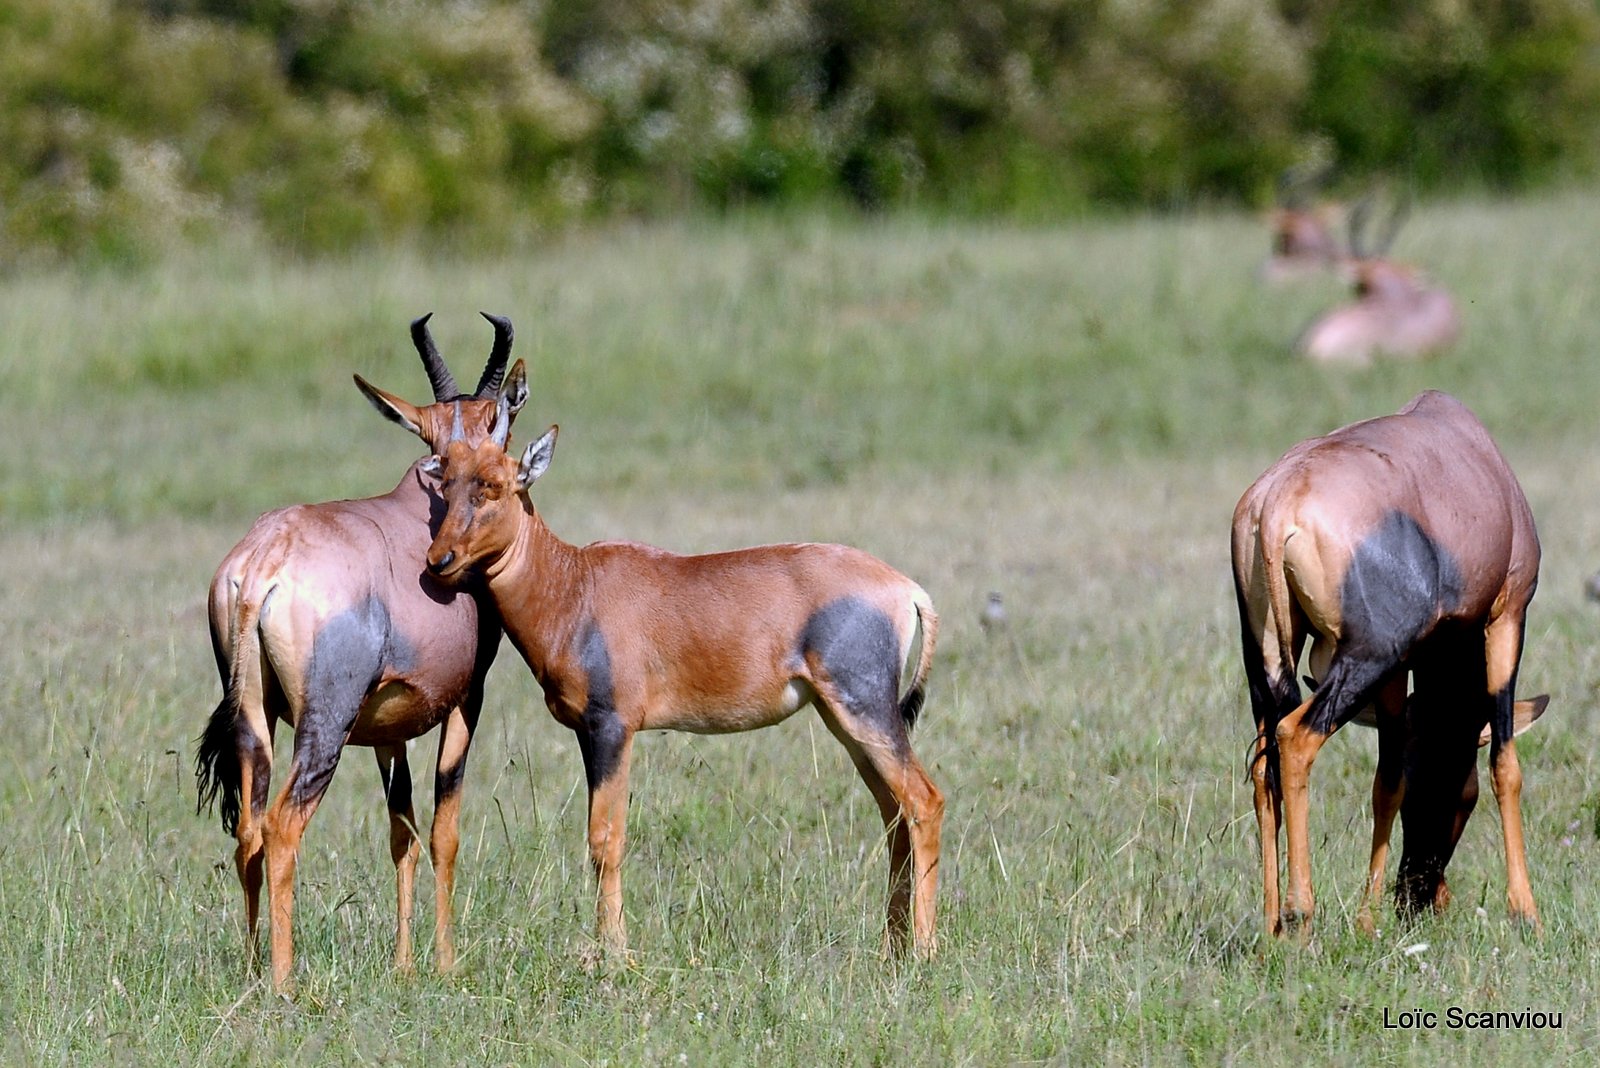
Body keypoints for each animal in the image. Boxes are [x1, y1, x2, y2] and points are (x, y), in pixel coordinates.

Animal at [196, 313, 528, 991]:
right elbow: (443, 829)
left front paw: (403, 966)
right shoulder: (467, 699)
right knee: (282, 828)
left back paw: (252, 968)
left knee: (248, 831)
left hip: (254, 719)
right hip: (325, 723)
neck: (419, 505)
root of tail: (262, 563)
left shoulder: (384, 730)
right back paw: (285, 984)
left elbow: (400, 830)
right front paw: (444, 964)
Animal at [419, 412, 940, 952]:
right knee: (894, 814)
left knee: (924, 803)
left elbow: (605, 837)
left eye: (494, 485)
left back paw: (922, 950)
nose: (438, 560)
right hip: (846, 721)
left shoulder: (612, 728)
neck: (576, 585)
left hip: (866, 709)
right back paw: (892, 947)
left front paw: (614, 954)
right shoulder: (590, 732)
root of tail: (905, 590)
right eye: (447, 482)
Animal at [1228, 390, 1542, 933]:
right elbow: (1506, 764)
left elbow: (1386, 781)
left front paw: (1367, 918)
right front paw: (1526, 912)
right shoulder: (1508, 614)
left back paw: (1271, 927)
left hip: (1266, 657)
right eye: (1465, 795)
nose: (1416, 897)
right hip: (1368, 656)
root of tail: (1275, 505)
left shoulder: (1405, 664)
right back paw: (1299, 916)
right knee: (1295, 739)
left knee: (1264, 769)